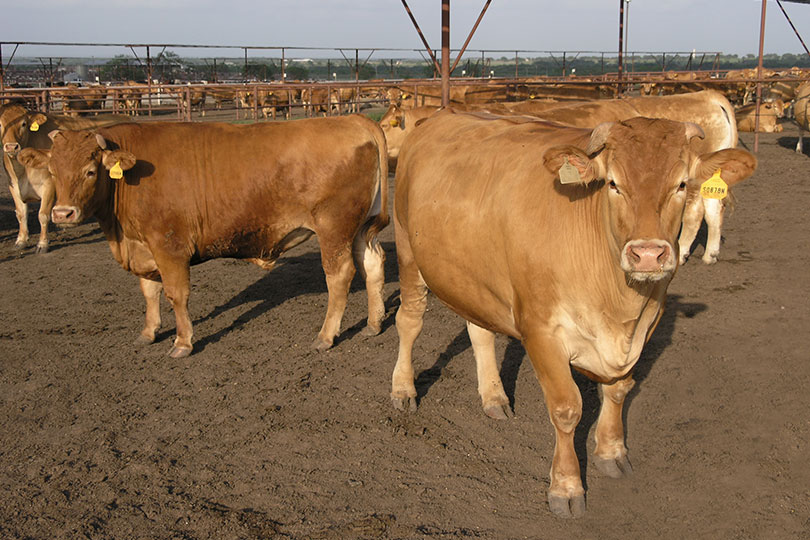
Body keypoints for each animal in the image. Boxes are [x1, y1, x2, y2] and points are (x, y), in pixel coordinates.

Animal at [16, 116, 388, 356]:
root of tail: (356, 120)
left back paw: (326, 336)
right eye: (53, 171)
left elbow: (175, 294)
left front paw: (182, 342)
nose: (63, 213)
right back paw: (373, 323)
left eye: (91, 171)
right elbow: (149, 292)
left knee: (339, 275)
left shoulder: (169, 245)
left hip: (334, 227)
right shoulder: (144, 246)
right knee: (372, 265)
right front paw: (149, 331)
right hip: (359, 228)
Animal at [388, 110, 756, 520]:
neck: (618, 302)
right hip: (407, 251)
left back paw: (494, 397)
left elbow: (619, 390)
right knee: (409, 321)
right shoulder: (540, 329)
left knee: (479, 330)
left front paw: (612, 452)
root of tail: (439, 116)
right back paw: (403, 389)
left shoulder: (648, 322)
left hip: (471, 274)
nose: (647, 254)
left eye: (681, 184)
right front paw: (565, 487)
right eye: (613, 183)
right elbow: (567, 409)